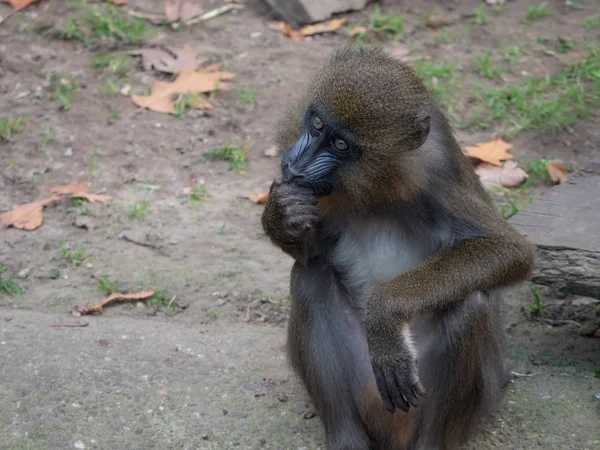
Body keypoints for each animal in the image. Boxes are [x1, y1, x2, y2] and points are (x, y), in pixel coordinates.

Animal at [262, 45, 536, 450]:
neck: (377, 185)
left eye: (341, 145)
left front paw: (385, 313)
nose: (297, 162)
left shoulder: (439, 176)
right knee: (309, 278)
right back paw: (346, 437)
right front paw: (280, 213)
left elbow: (509, 250)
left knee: (469, 306)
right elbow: (311, 255)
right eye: (316, 124)